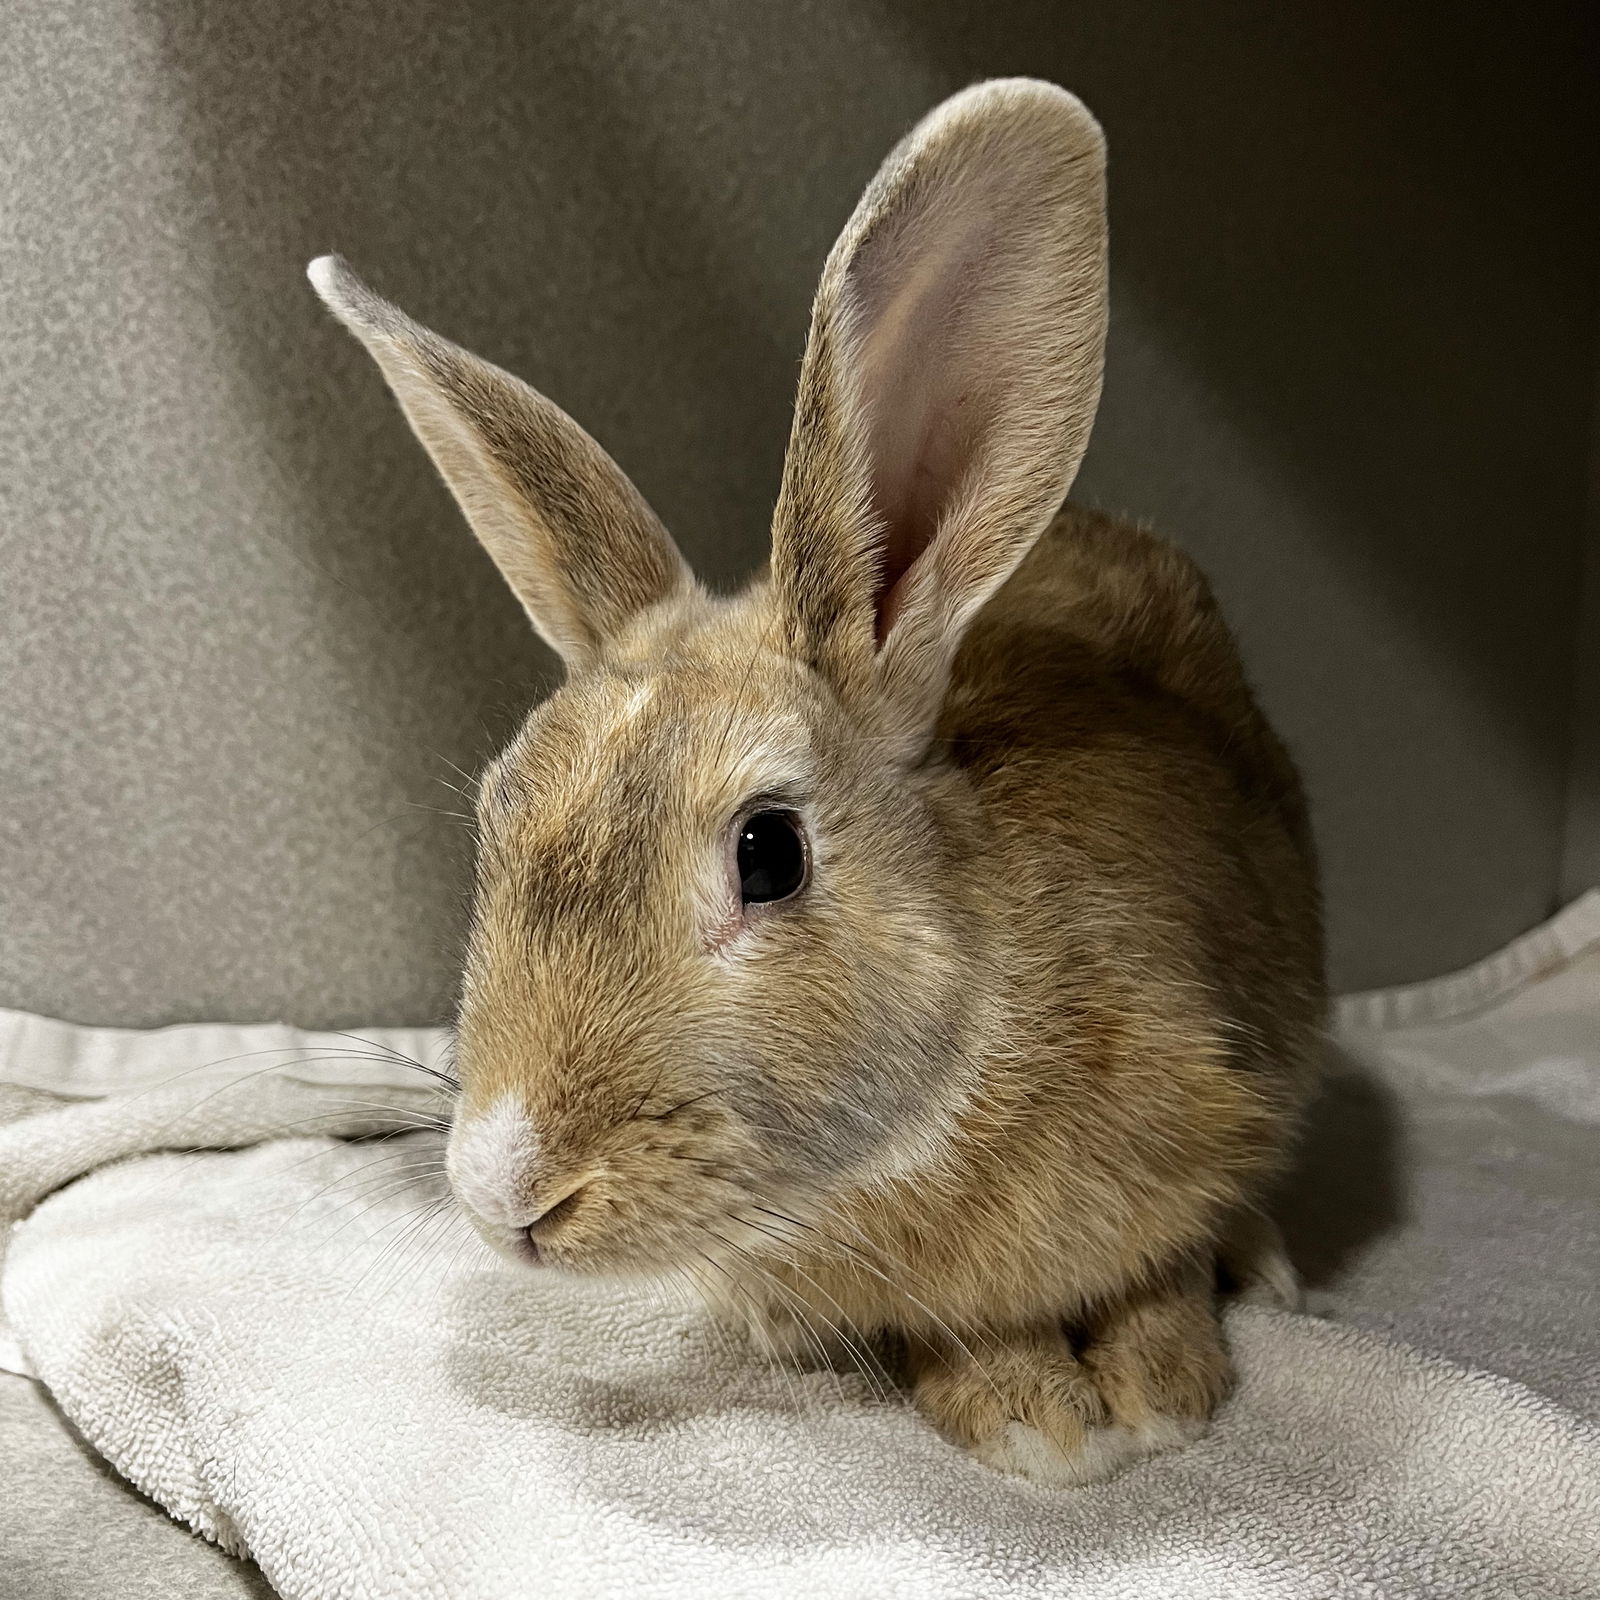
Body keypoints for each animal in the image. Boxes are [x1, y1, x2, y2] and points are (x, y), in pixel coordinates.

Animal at [308, 78, 1324, 1484]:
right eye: (495, 817)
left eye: (768, 853)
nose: (505, 1193)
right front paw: (1031, 1412)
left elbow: (1155, 1271)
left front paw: (1157, 1394)